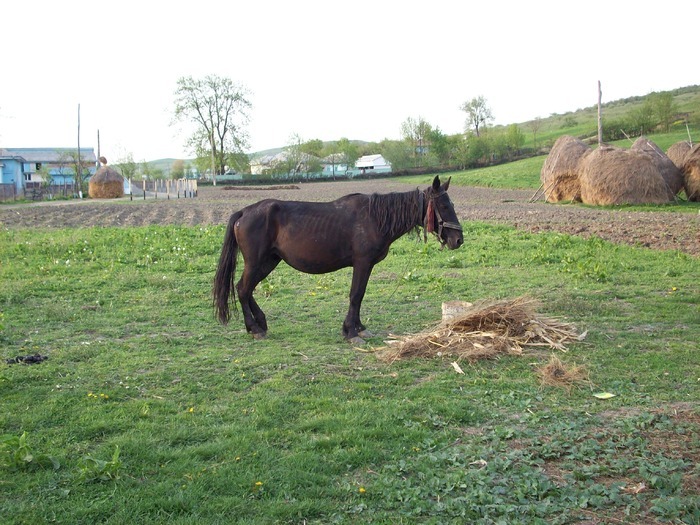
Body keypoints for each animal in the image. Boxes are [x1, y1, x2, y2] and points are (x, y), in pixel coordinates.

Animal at [213, 174, 464, 342]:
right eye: (443, 205)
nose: (458, 240)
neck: (374, 218)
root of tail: (244, 212)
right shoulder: (362, 263)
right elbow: (356, 295)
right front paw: (351, 332)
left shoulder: (366, 266)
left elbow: (360, 296)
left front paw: (359, 327)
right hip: (256, 262)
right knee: (243, 289)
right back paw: (254, 328)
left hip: (269, 262)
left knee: (246, 289)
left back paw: (260, 324)